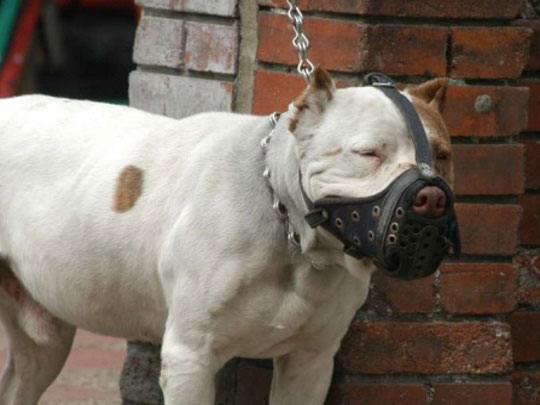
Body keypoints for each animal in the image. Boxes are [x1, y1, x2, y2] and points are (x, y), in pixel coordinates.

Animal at [0, 67, 454, 404]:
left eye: (443, 155)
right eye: (368, 153)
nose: (430, 197)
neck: (290, 234)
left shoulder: (310, 362)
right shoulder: (190, 358)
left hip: (43, 344)